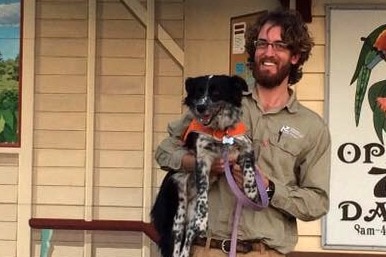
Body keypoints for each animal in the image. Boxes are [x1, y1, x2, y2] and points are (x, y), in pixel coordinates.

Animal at [152, 74, 260, 256]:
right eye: (198, 92)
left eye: (216, 93)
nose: (201, 107)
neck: (220, 132)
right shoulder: (203, 159)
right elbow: (204, 196)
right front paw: (203, 221)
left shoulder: (244, 147)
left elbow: (250, 170)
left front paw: (251, 191)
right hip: (177, 214)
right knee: (176, 244)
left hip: (190, 215)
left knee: (186, 243)